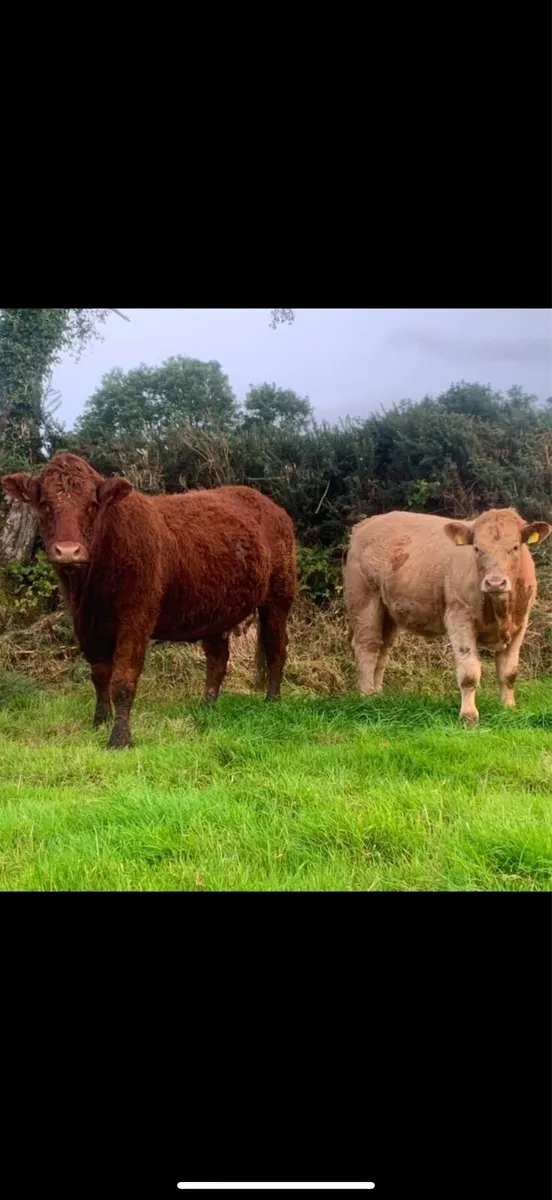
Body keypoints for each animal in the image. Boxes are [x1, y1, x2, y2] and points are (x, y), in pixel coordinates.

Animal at [1, 453, 296, 748]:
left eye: (92, 505)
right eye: (44, 504)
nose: (68, 551)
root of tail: (269, 504)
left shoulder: (137, 618)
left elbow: (122, 680)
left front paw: (120, 739)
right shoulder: (83, 623)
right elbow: (99, 675)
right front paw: (100, 722)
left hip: (279, 596)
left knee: (276, 647)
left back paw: (272, 701)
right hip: (215, 609)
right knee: (218, 658)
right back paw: (206, 707)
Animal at [343, 507, 551, 724]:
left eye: (515, 547)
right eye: (477, 548)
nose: (495, 582)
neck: (500, 609)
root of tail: (367, 523)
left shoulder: (520, 623)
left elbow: (509, 673)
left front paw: (508, 709)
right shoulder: (459, 618)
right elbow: (469, 673)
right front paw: (469, 716)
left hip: (388, 613)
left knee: (382, 650)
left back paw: (378, 697)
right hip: (364, 601)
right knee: (367, 647)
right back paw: (367, 697)